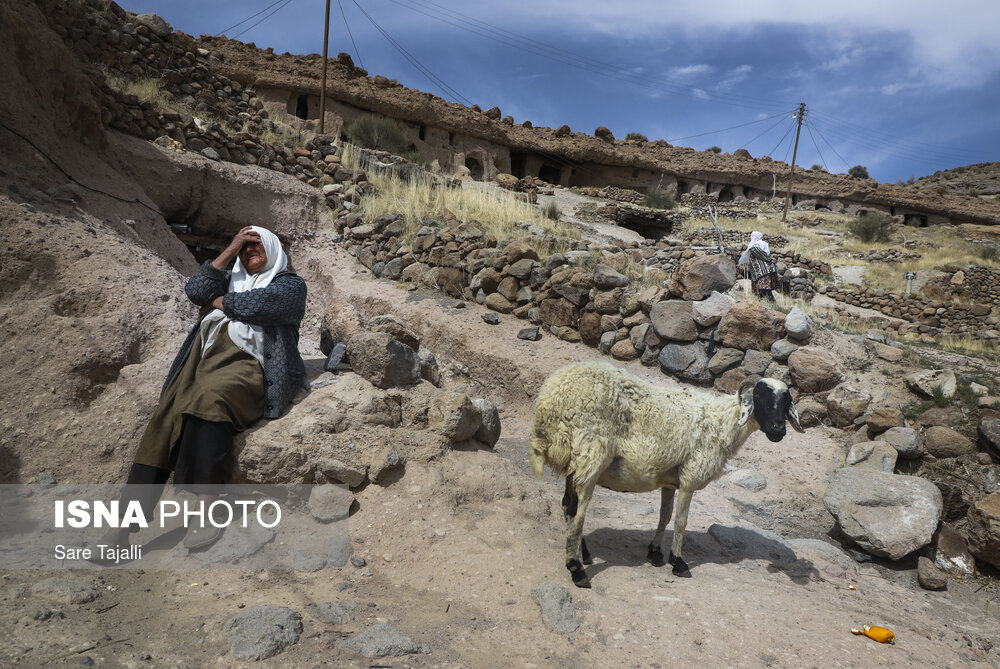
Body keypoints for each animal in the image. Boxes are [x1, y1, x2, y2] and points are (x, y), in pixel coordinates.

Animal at [532, 360, 804, 584]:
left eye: (786, 401)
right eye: (759, 395)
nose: (778, 430)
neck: (723, 423)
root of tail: (548, 402)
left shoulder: (669, 479)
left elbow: (664, 515)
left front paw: (655, 553)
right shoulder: (690, 476)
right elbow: (681, 521)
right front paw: (678, 562)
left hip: (575, 464)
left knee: (567, 506)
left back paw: (583, 553)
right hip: (590, 455)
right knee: (577, 512)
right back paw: (576, 568)